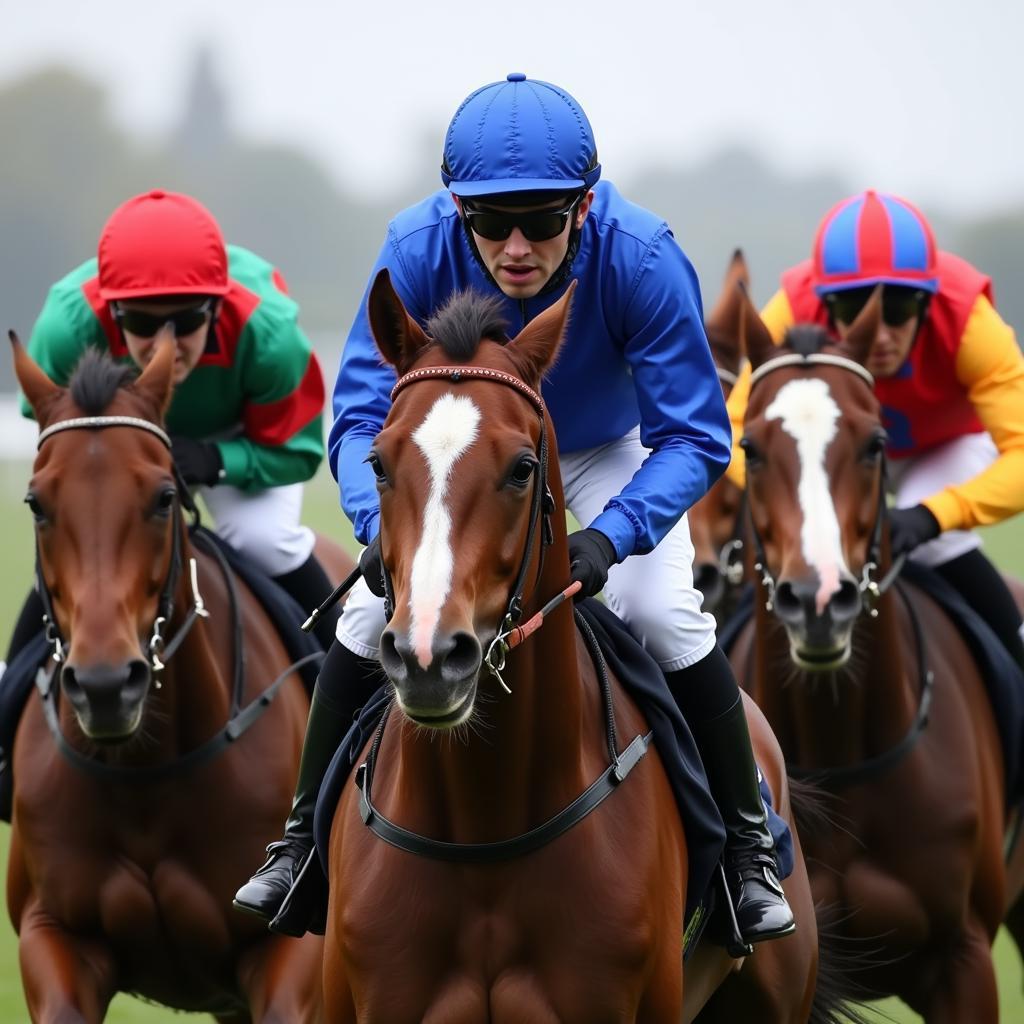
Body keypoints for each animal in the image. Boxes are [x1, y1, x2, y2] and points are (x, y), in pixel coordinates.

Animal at [6, 331, 321, 1019]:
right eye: (36, 504)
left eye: (164, 497)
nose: (104, 686)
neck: (145, 771)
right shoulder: (53, 935)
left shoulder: (285, 952)